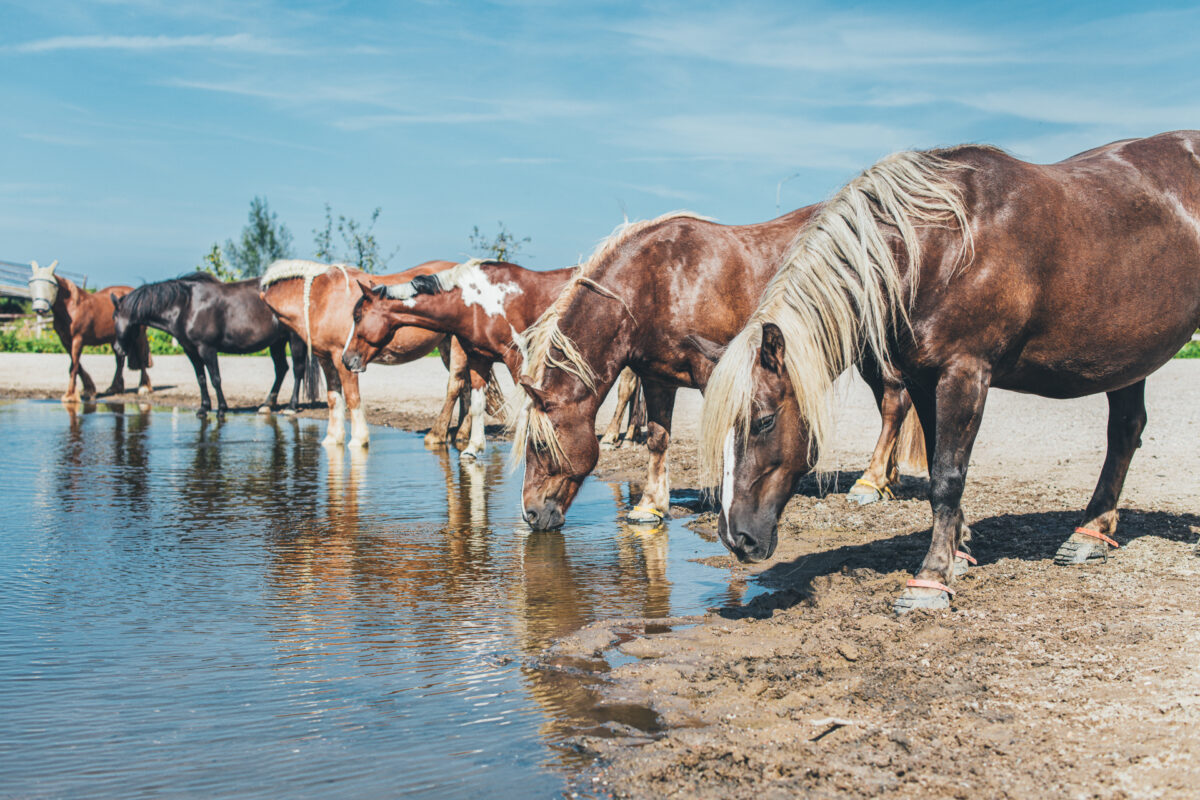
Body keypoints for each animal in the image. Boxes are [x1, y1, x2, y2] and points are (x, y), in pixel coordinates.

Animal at [27, 261, 152, 402]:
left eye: (52, 284)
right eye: (31, 282)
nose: (40, 309)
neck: (72, 308)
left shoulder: (78, 339)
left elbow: (74, 367)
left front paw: (70, 396)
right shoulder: (66, 341)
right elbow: (77, 366)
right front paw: (89, 389)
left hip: (138, 335)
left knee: (141, 357)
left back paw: (143, 388)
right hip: (115, 338)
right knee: (119, 360)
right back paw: (115, 388)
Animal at [111, 272, 319, 417]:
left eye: (114, 318)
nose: (118, 349)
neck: (186, 306)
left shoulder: (207, 348)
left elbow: (215, 378)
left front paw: (221, 409)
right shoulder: (191, 351)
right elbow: (201, 378)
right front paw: (204, 408)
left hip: (294, 338)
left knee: (298, 370)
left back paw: (291, 406)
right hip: (277, 342)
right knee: (282, 369)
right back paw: (267, 405)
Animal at [260, 261, 504, 450]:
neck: (321, 298)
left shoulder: (343, 358)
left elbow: (352, 398)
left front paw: (358, 439)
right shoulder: (326, 360)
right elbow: (333, 399)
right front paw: (333, 438)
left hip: (456, 347)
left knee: (455, 385)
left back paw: (437, 434)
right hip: (447, 347)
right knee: (466, 386)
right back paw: (460, 433)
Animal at [700, 130, 1200, 614]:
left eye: (764, 421)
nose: (735, 538)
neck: (936, 247)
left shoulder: (965, 372)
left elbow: (946, 476)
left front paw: (931, 579)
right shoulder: (925, 379)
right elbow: (941, 461)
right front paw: (958, 549)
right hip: (1128, 356)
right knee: (1125, 432)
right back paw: (1090, 534)